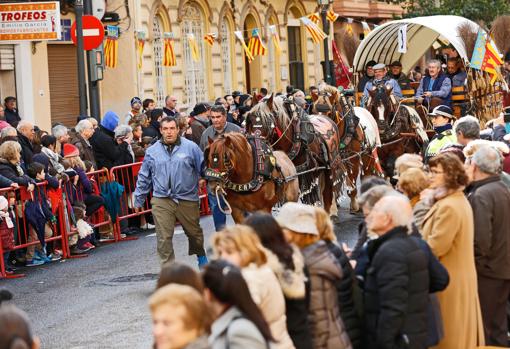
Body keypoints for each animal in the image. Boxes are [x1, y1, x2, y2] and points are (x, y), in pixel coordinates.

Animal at [308, 83, 380, 212]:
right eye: (314, 111)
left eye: (329, 113)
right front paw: (333, 206)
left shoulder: (353, 159)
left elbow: (352, 181)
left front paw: (354, 203)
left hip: (368, 154)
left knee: (365, 173)